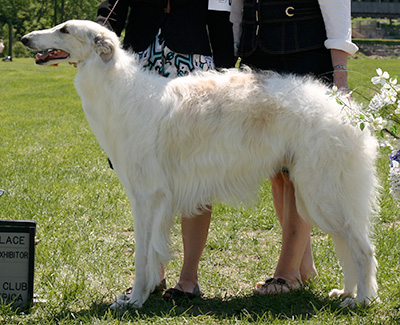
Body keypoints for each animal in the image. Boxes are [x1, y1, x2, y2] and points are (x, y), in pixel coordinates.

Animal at [21, 19, 378, 308]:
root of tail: (348, 110)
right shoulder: (155, 198)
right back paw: (346, 293)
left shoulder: (146, 196)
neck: (121, 91)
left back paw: (361, 300)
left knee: (362, 249)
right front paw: (144, 293)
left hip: (323, 192)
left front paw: (134, 300)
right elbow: (153, 253)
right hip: (315, 194)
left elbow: (142, 255)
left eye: (65, 29)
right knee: (346, 246)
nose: (25, 39)